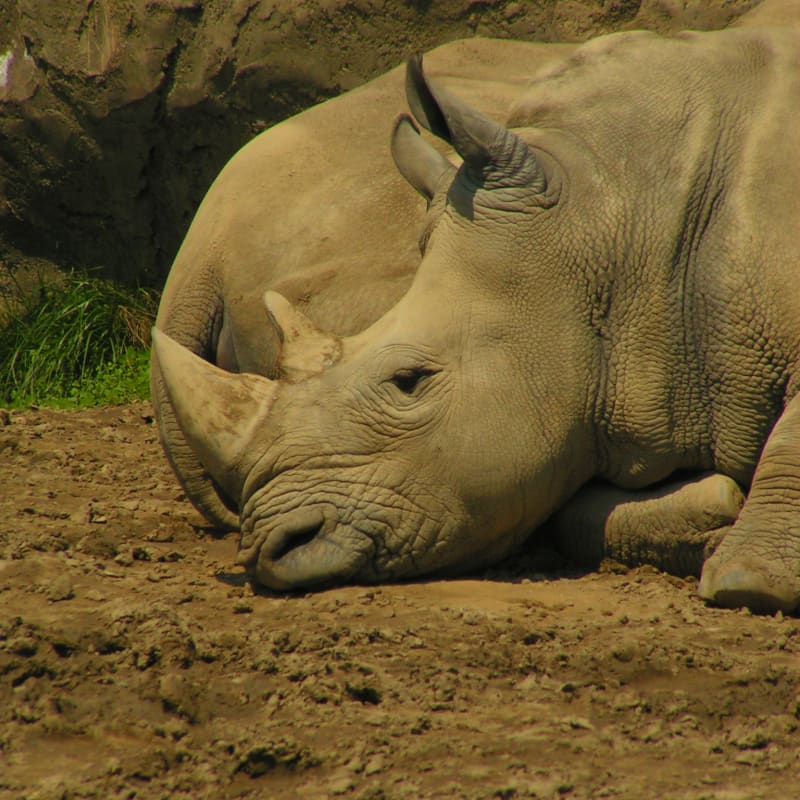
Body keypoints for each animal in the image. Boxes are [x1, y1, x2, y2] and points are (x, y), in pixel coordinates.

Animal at [152, 17, 800, 614]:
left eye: (409, 381)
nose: (275, 545)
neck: (625, 208)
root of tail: (201, 250)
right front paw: (716, 521)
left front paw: (747, 581)